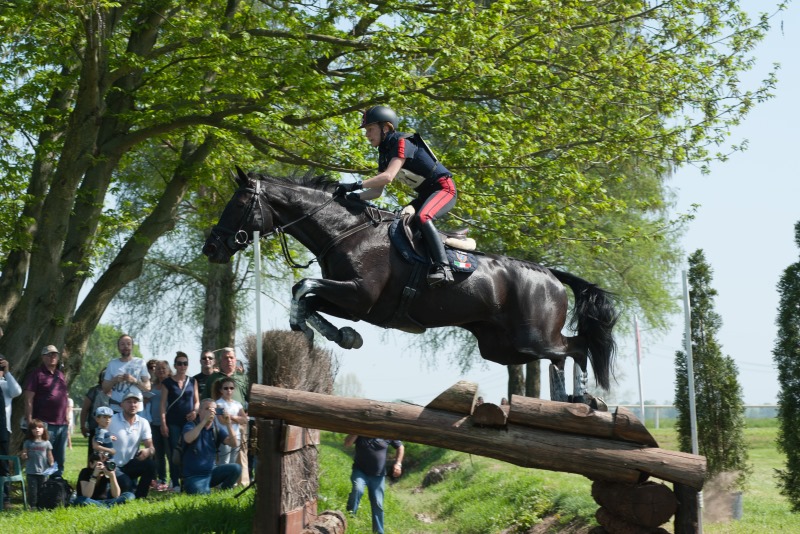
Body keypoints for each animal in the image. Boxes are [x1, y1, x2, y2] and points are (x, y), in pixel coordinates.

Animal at [202, 170, 620, 400]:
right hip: (502, 348)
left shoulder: (359, 296)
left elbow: (303, 285)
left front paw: (325, 332)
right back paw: (568, 400)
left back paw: (583, 401)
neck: (346, 231)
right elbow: (306, 297)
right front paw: (336, 335)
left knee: (575, 349)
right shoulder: (351, 299)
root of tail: (551, 275)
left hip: (530, 337)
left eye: (237, 204)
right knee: (562, 355)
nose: (211, 248)